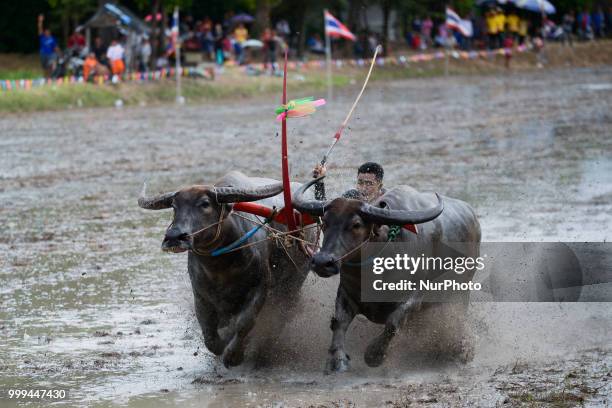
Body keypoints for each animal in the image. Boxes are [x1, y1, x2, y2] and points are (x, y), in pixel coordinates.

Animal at [139, 171, 310, 368]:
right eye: (174, 206)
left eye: (205, 204)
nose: (174, 237)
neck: (220, 267)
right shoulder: (201, 296)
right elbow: (209, 332)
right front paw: (222, 345)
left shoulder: (260, 288)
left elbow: (245, 322)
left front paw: (234, 356)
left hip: (292, 286)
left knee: (283, 316)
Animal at [292, 175, 482, 372]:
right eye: (325, 222)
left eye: (356, 224)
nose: (322, 262)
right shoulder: (346, 291)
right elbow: (339, 321)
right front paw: (337, 360)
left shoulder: (415, 297)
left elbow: (393, 322)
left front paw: (373, 355)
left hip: (460, 292)